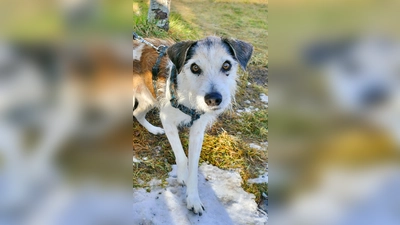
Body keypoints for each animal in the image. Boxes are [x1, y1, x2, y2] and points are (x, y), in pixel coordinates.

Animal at [134, 36, 253, 214]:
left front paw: (193, 198)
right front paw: (182, 176)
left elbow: (194, 165)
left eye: (226, 65)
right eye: (195, 67)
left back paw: (153, 129)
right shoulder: (167, 120)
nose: (213, 99)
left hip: (148, 98)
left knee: (137, 114)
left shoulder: (198, 130)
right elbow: (182, 157)